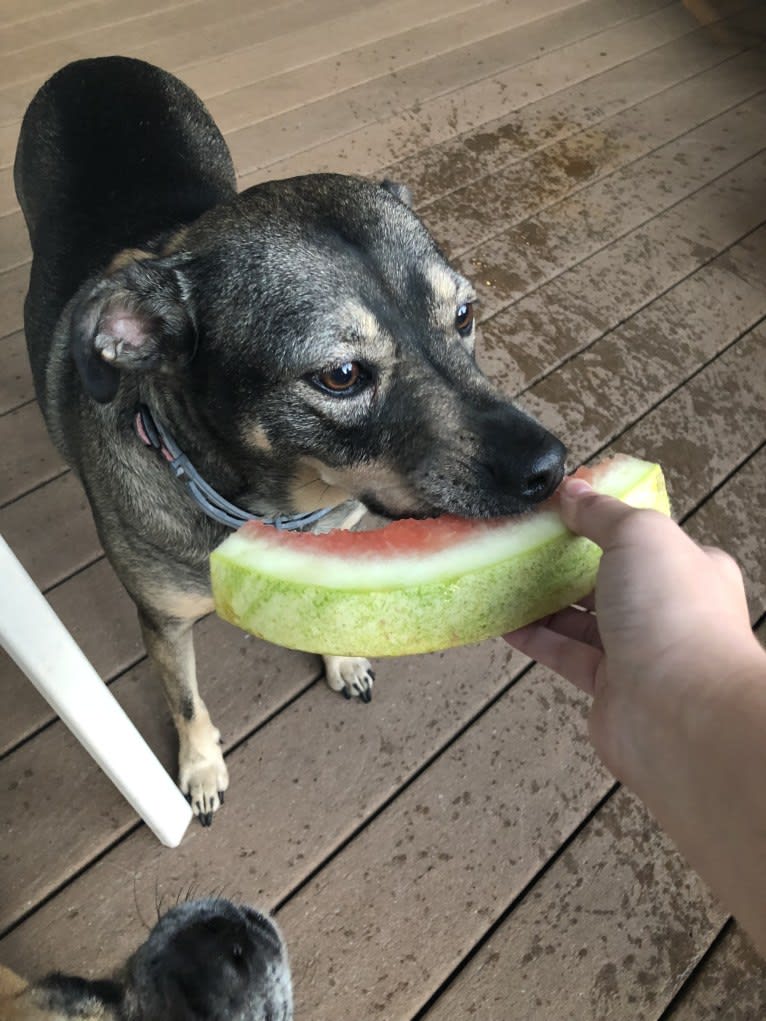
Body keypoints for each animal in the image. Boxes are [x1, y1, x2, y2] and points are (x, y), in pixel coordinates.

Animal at [15, 55, 571, 824]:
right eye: (340, 375)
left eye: (463, 315)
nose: (550, 468)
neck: (278, 504)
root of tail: (93, 63)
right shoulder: (162, 622)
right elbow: (185, 701)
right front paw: (201, 767)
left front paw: (343, 662)